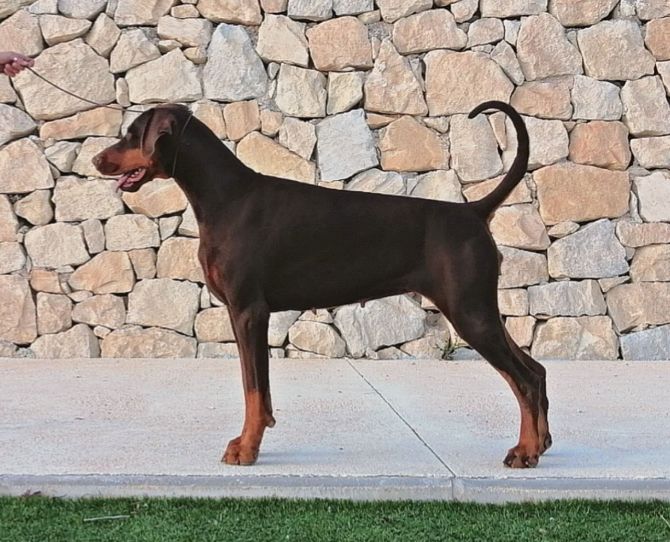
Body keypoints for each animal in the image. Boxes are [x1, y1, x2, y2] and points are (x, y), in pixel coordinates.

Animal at [93, 101, 551, 468]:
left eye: (132, 134)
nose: (96, 160)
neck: (225, 198)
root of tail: (475, 211)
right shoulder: (243, 316)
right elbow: (257, 388)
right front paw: (251, 438)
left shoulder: (248, 311)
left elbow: (252, 388)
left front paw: (247, 450)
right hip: (480, 311)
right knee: (536, 370)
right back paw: (540, 443)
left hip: (469, 313)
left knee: (524, 380)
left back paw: (525, 451)